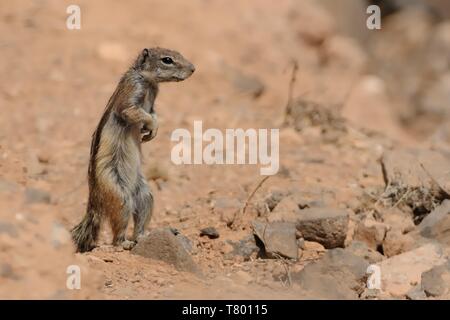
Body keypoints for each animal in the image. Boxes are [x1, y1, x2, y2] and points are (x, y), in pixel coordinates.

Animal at [71, 47, 194, 252]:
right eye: (167, 60)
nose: (193, 69)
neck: (148, 80)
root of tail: (94, 201)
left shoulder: (152, 102)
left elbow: (152, 114)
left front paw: (151, 133)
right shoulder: (132, 94)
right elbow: (133, 112)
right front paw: (150, 127)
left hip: (144, 194)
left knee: (141, 217)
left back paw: (144, 236)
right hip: (119, 196)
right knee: (118, 232)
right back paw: (124, 243)